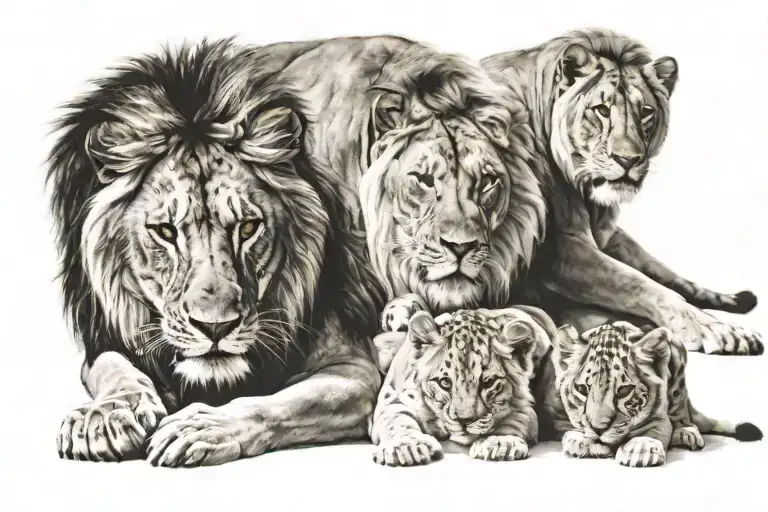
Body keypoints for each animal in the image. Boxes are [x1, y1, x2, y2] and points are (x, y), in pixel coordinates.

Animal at [47, 38, 387, 467]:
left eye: (247, 227)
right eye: (165, 232)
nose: (215, 328)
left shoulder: (354, 369)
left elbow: (277, 404)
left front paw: (202, 427)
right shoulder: (107, 336)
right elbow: (115, 367)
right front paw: (106, 416)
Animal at [481, 28, 763, 355]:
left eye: (646, 112)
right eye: (602, 110)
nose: (628, 160)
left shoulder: (604, 234)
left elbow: (658, 271)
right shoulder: (555, 246)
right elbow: (636, 283)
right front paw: (712, 328)